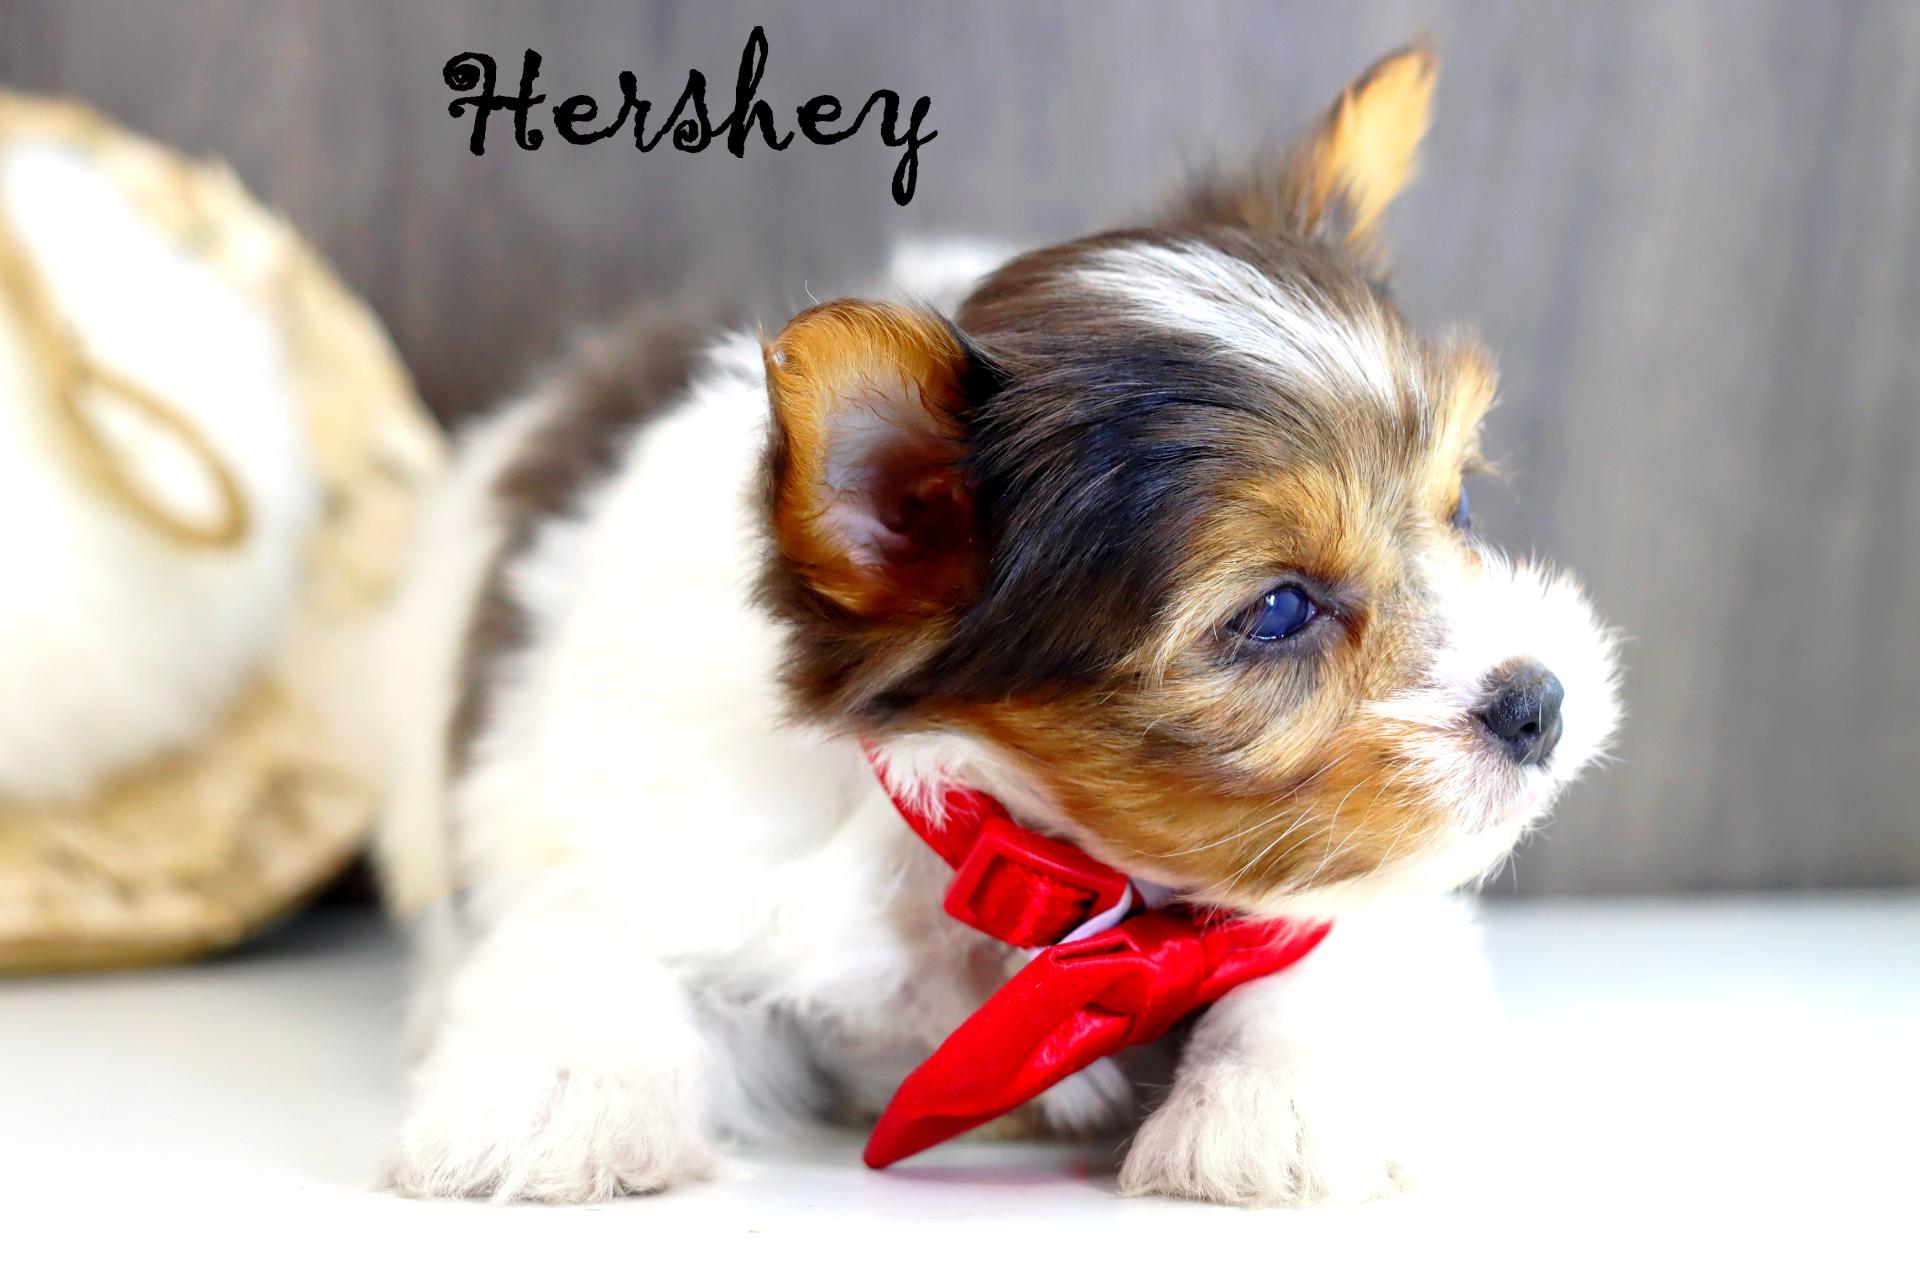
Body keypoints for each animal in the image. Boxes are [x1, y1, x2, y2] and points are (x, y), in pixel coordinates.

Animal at [374, 42, 1620, 1206]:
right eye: (1277, 609)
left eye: (1460, 507)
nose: (1540, 701)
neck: (1023, 854)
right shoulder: (663, 837)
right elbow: (587, 944)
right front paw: (549, 1099)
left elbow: (1338, 946)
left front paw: (1272, 1111)